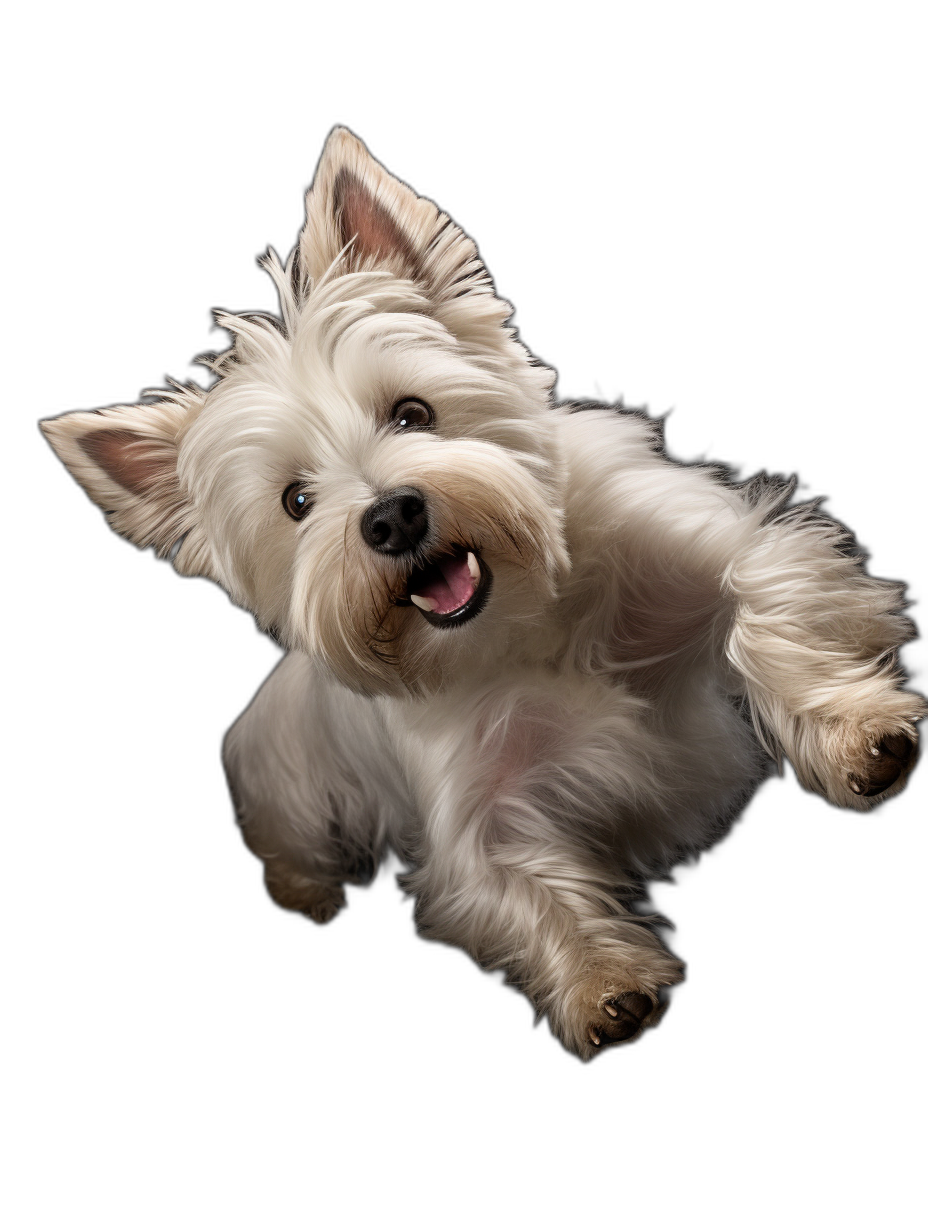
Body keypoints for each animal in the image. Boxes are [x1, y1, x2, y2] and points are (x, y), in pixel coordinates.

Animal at [41, 127, 921, 1059]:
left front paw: (859, 738)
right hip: (285, 789)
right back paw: (304, 893)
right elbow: (514, 883)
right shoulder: (470, 812)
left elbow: (765, 603)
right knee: (291, 842)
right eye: (296, 502)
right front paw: (604, 987)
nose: (391, 517)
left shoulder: (728, 548)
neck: (524, 623)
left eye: (413, 413)